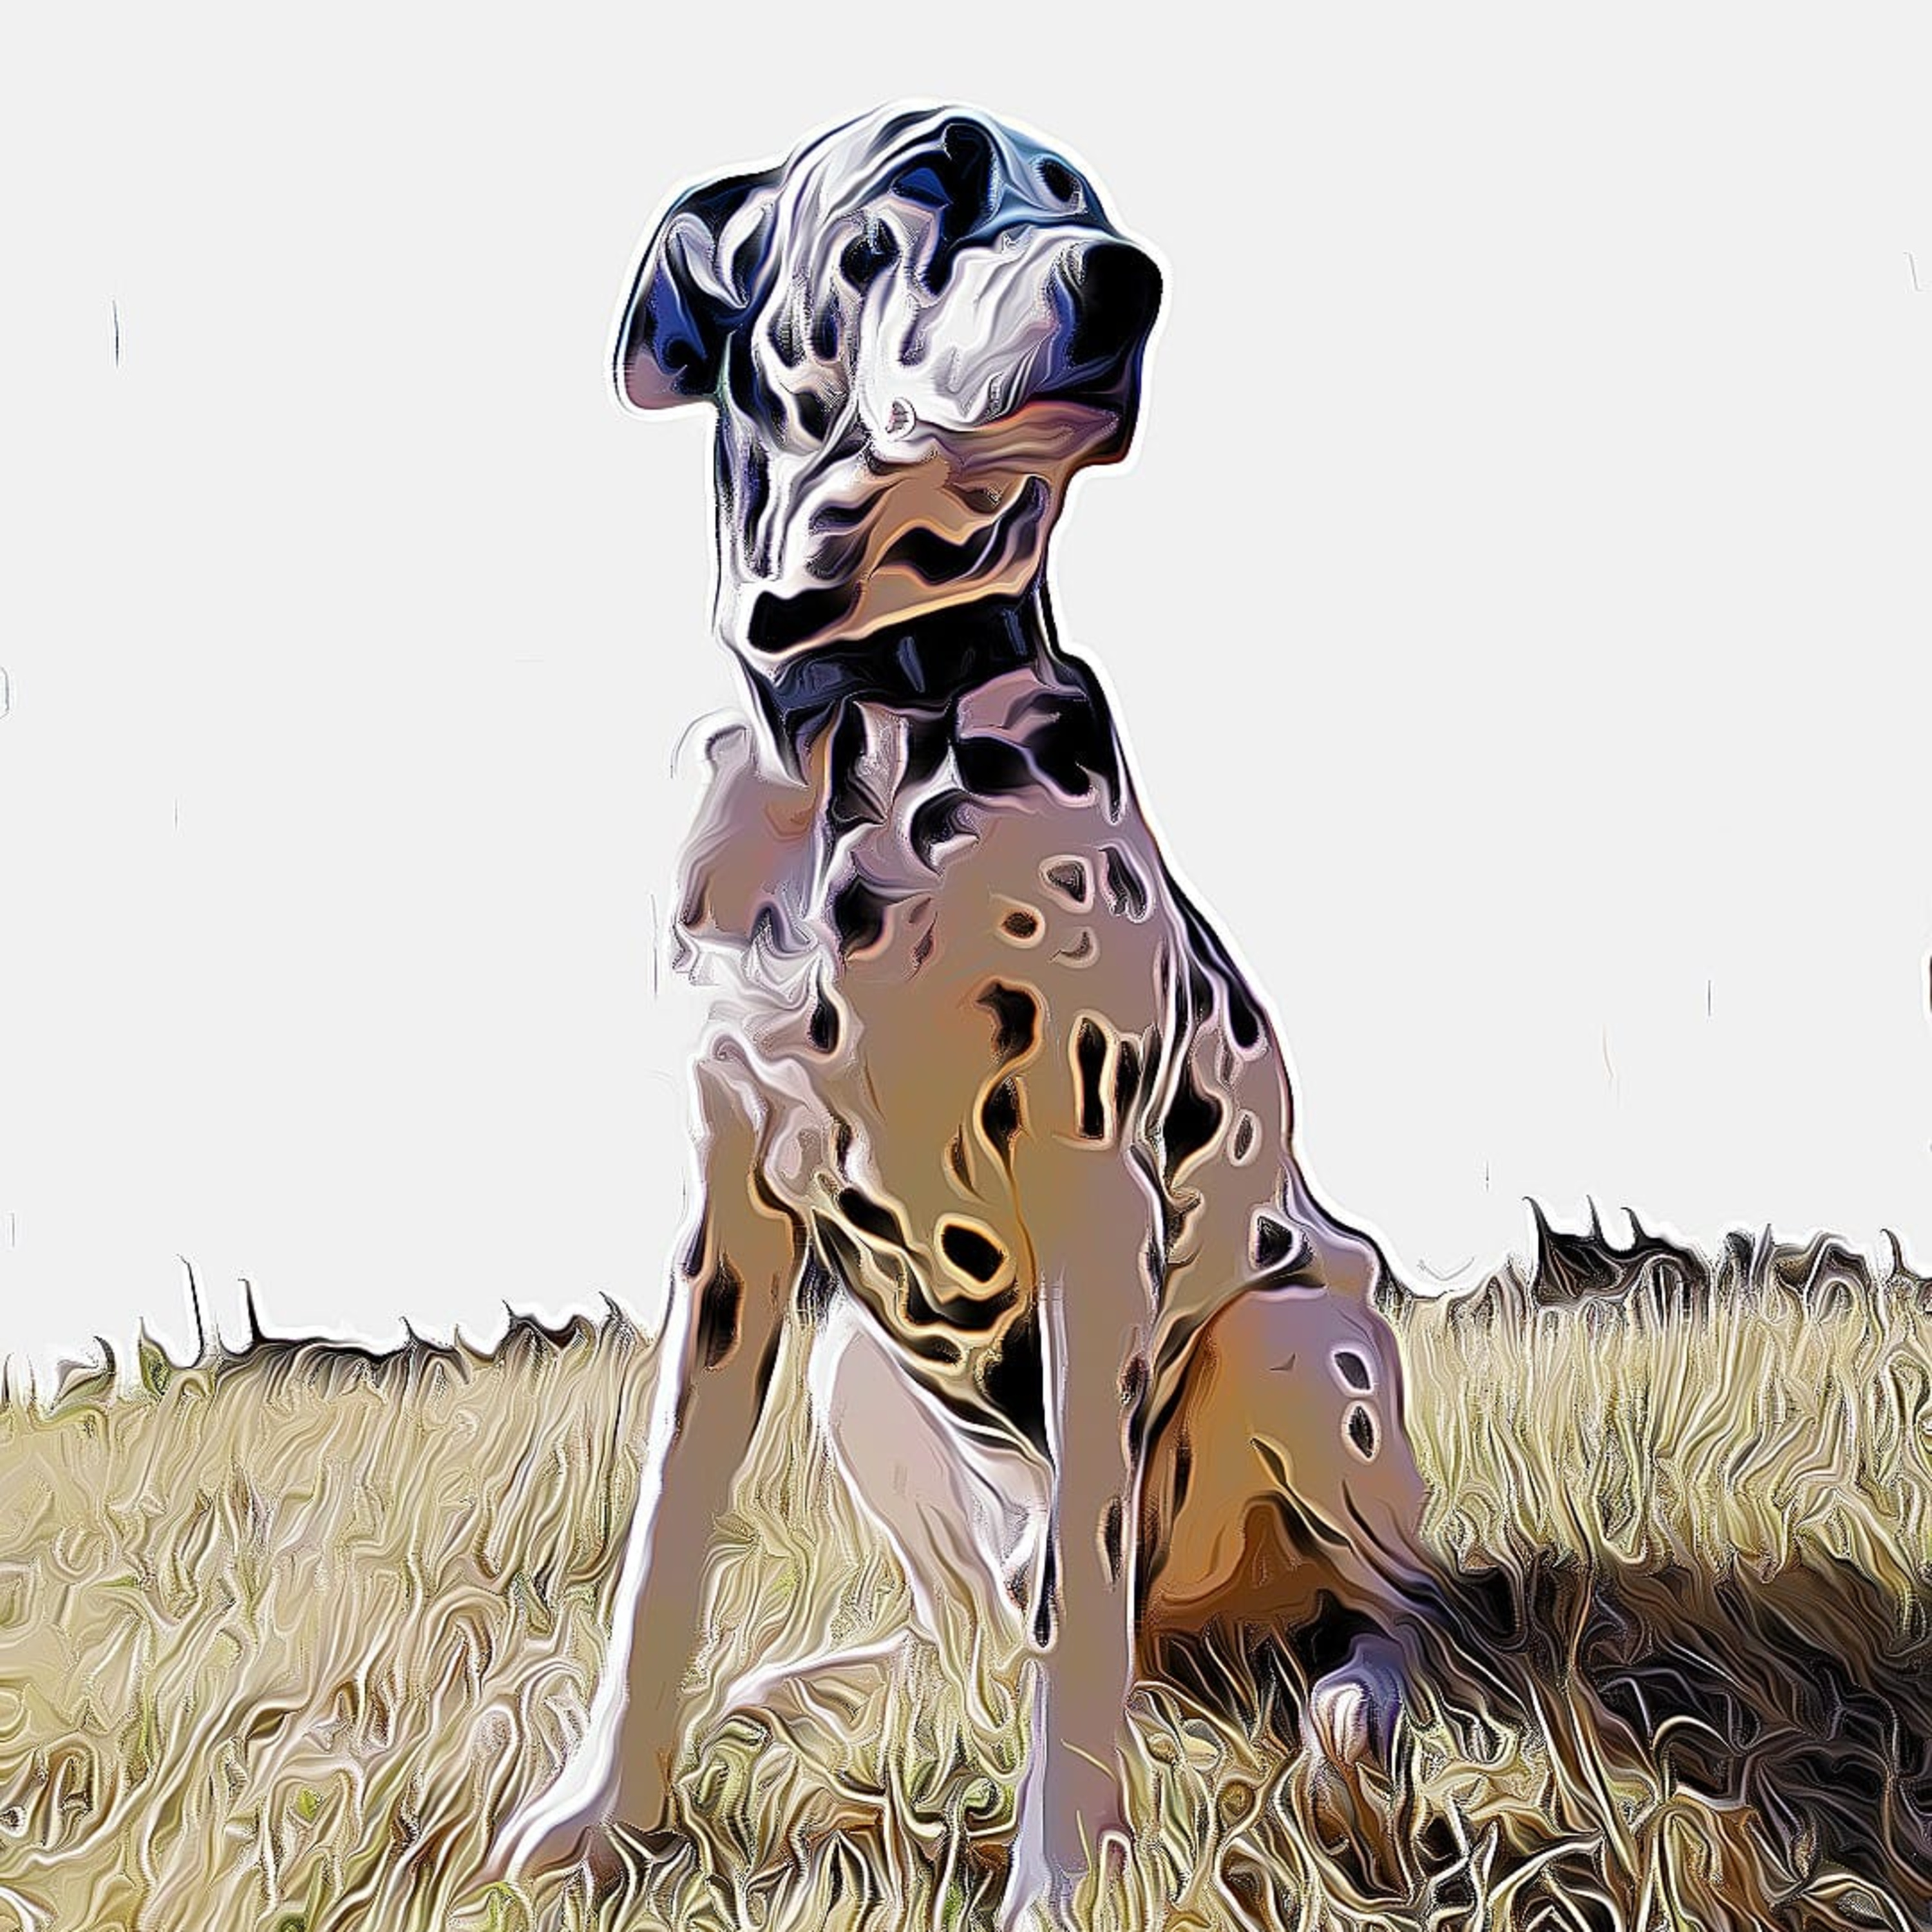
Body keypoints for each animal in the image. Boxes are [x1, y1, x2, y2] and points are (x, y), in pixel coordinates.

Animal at [498, 103, 1433, 1922]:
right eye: (927, 179)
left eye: (1088, 202)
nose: (1130, 282)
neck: (865, 721)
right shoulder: (730, 1222)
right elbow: (662, 1546)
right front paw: (601, 1810)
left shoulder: (1092, 1207)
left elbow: (1081, 1595)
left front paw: (1066, 1873)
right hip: (850, 1363)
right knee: (981, 1622)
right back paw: (823, 1684)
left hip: (1299, 1342)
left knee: (1371, 1608)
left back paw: (1354, 1719)